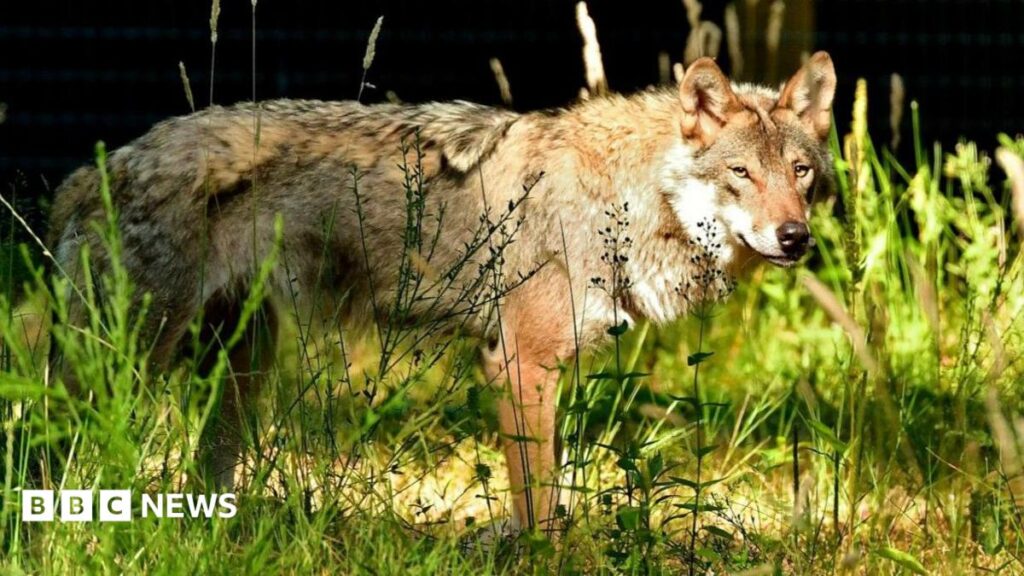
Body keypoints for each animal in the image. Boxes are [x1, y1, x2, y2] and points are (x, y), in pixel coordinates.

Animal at [48, 52, 836, 533]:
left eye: (799, 172)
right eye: (741, 174)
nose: (795, 238)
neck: (625, 196)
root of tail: (93, 171)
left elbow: (546, 499)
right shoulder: (519, 365)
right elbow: (540, 510)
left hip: (238, 375)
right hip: (124, 365)